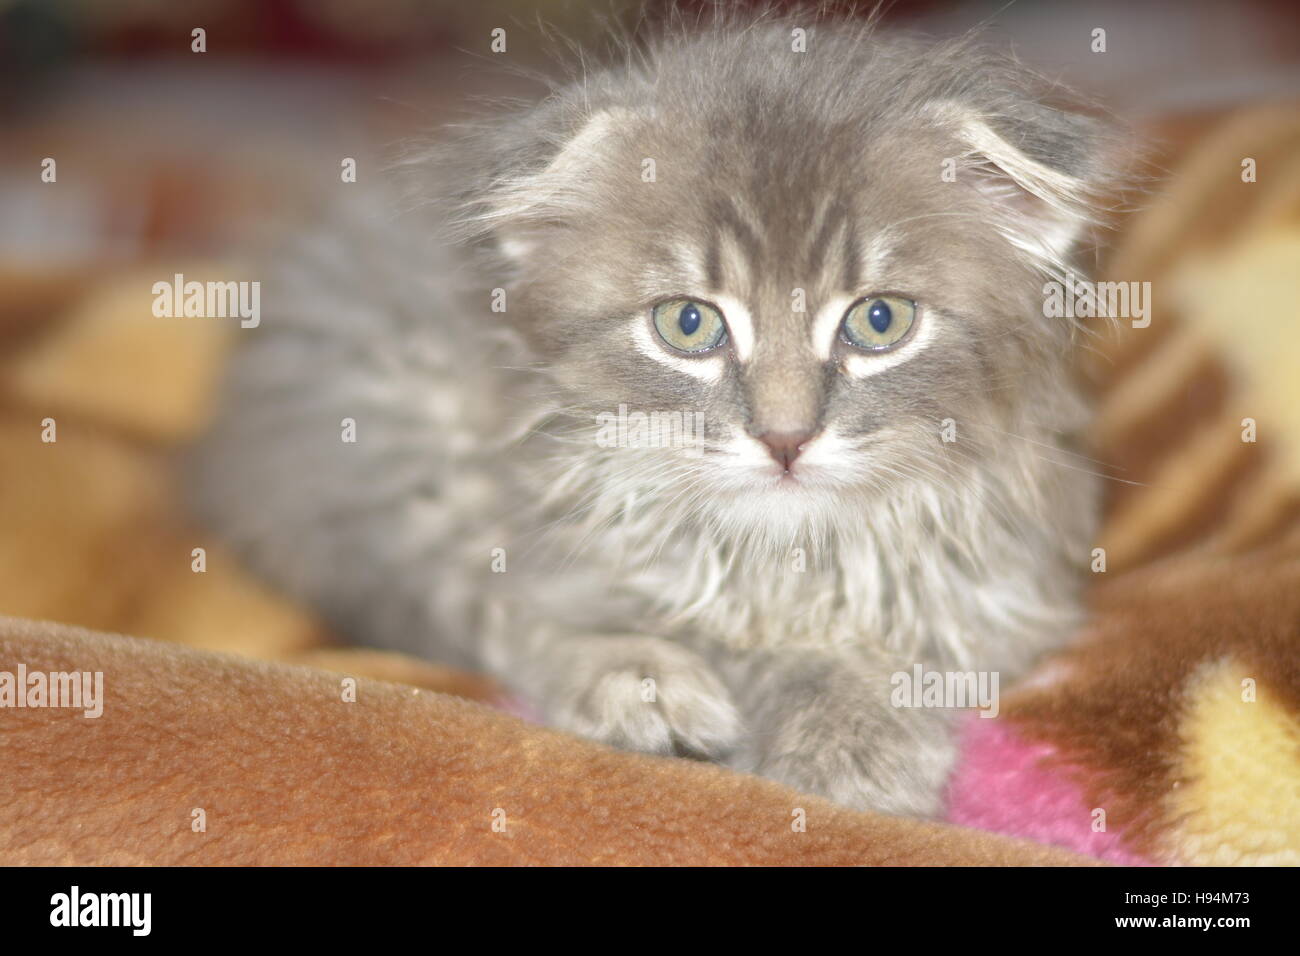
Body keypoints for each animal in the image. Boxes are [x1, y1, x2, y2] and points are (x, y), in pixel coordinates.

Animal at [189, 14, 1118, 816]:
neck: (781, 557)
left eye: (880, 321)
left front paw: (849, 737)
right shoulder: (526, 533)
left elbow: (895, 652)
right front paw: (650, 681)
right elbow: (546, 621)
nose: (785, 439)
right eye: (689, 325)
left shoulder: (999, 591)